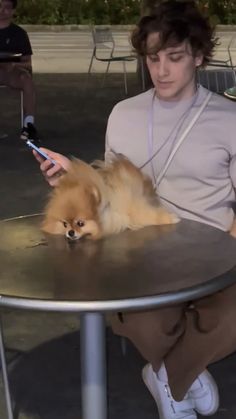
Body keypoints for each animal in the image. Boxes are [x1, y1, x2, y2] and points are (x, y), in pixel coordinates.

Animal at [42, 156, 179, 241]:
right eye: (64, 224)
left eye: (80, 223)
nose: (70, 232)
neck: (107, 209)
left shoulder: (132, 209)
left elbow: (147, 215)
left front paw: (171, 218)